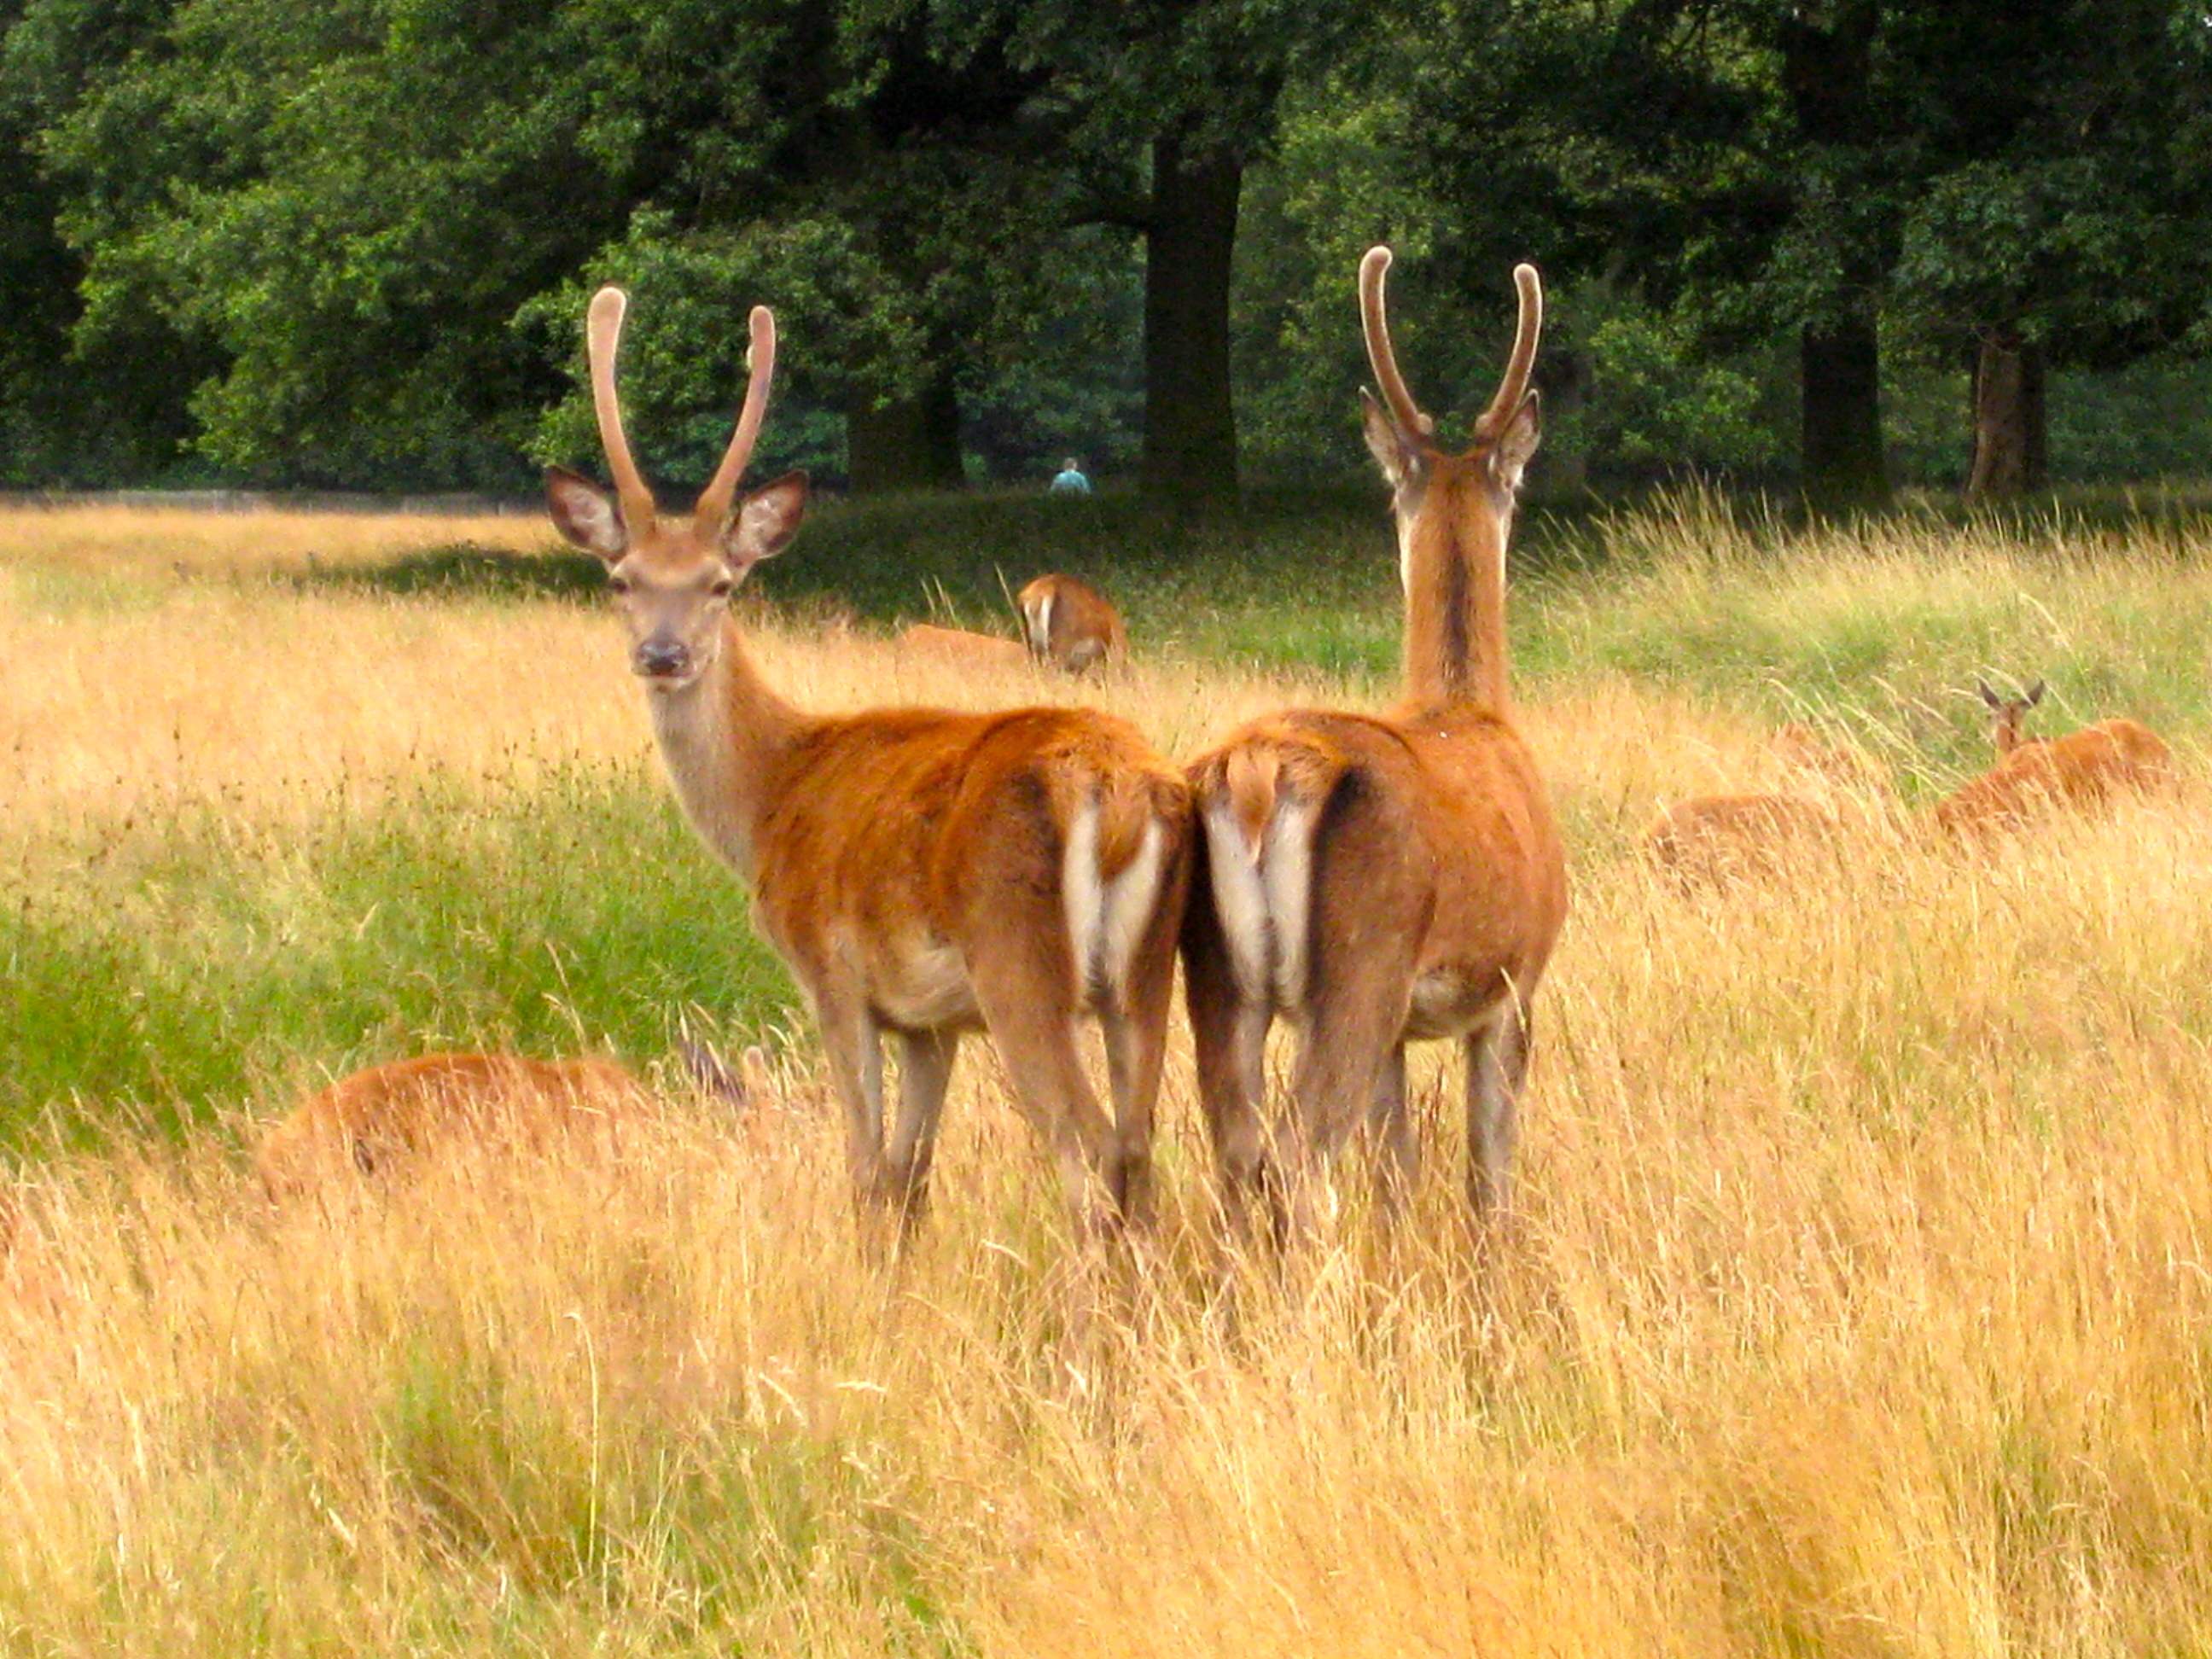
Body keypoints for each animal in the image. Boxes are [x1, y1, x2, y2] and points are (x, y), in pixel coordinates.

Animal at [1179, 248, 1568, 1235]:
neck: (1471, 709)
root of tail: (1257, 778)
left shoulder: (1403, 1028)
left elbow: (1397, 1172)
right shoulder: (1516, 983)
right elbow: (1487, 1175)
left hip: (1219, 977)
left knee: (1234, 1157)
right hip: (1360, 961)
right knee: (1295, 1158)